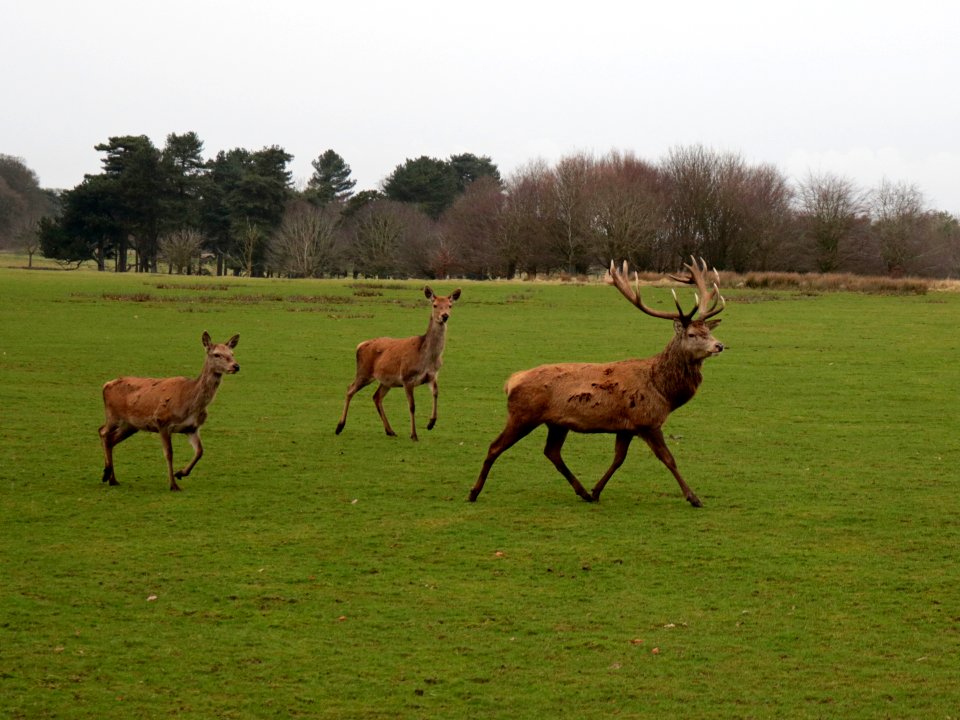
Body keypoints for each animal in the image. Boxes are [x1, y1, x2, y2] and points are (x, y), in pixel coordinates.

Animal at [98, 330, 240, 490]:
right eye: (216, 354)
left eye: (232, 353)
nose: (236, 366)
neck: (191, 402)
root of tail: (106, 384)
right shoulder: (162, 422)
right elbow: (169, 453)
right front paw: (173, 485)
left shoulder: (192, 428)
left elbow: (200, 451)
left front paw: (180, 473)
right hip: (113, 415)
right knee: (102, 431)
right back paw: (106, 473)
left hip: (130, 425)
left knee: (111, 440)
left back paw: (113, 479)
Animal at [336, 286, 460, 442]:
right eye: (435, 305)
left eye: (450, 305)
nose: (444, 316)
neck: (428, 358)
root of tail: (360, 345)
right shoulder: (407, 377)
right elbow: (412, 406)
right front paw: (414, 434)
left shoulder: (432, 376)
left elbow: (436, 393)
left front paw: (431, 423)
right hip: (363, 372)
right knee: (350, 389)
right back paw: (339, 426)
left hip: (387, 381)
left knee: (376, 397)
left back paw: (390, 430)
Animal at [468, 258, 724, 506]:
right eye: (692, 334)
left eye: (708, 331)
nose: (719, 345)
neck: (663, 392)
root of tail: (511, 381)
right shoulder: (647, 420)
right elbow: (669, 459)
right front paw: (693, 497)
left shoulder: (626, 427)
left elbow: (619, 459)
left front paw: (596, 490)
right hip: (522, 415)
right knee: (495, 446)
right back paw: (474, 492)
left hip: (556, 423)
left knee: (552, 452)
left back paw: (582, 492)